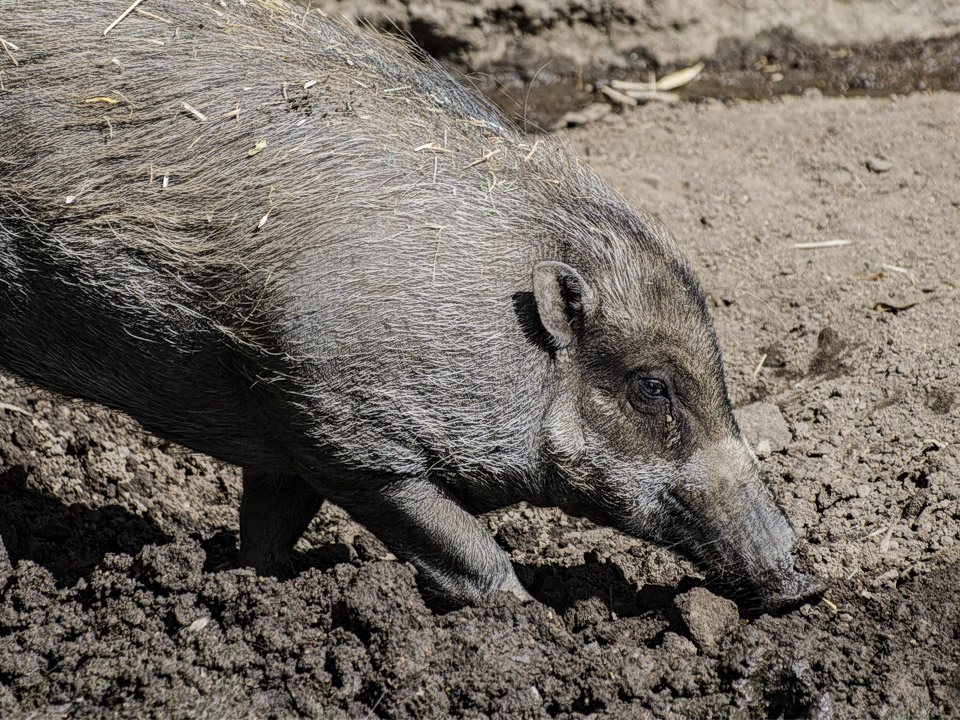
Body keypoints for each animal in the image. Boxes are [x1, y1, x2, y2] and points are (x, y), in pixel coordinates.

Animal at [0, 0, 824, 610]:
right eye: (653, 387)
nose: (808, 585)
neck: (505, 342)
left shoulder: (284, 441)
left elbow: (264, 537)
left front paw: (258, 590)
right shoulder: (351, 438)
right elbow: (472, 555)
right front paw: (526, 619)